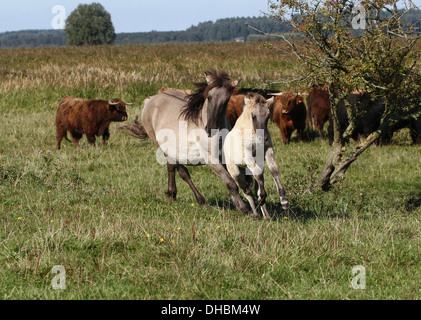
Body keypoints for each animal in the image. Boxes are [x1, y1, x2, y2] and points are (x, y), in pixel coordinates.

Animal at [121, 69, 251, 215]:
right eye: (209, 97)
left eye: (226, 100)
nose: (209, 128)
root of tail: (150, 100)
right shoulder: (211, 159)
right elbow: (230, 183)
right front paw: (244, 209)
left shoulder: (225, 157)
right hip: (161, 145)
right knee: (180, 171)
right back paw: (196, 200)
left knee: (173, 168)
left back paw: (174, 195)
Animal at [223, 92, 288, 220]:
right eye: (253, 116)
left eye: (268, 116)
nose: (264, 138)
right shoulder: (246, 155)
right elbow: (258, 174)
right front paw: (262, 198)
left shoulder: (267, 150)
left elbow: (274, 170)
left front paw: (284, 201)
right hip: (236, 172)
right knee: (247, 191)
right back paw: (255, 213)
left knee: (256, 185)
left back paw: (266, 215)